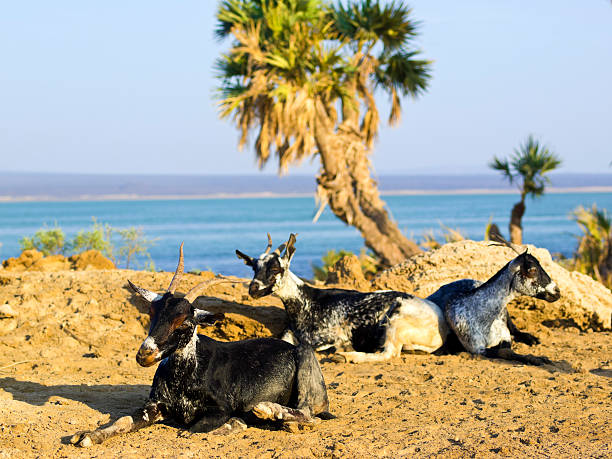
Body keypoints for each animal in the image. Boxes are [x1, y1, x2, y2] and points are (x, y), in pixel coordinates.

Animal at [70, 244, 332, 450]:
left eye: (185, 322)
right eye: (152, 313)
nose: (145, 353)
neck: (186, 375)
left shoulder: (219, 409)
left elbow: (193, 429)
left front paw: (234, 423)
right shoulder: (154, 406)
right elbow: (123, 420)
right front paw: (87, 436)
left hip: (307, 371)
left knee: (310, 414)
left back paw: (266, 410)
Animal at [234, 234, 450, 362]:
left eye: (276, 268)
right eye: (254, 268)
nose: (253, 289)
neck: (308, 304)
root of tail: (441, 327)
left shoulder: (333, 335)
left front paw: (339, 350)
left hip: (396, 321)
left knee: (389, 353)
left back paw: (346, 356)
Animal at [428, 237, 560, 366]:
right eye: (532, 270)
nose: (557, 291)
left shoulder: (504, 335)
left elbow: (507, 347)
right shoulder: (477, 348)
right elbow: (505, 352)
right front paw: (537, 359)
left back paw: (532, 339)